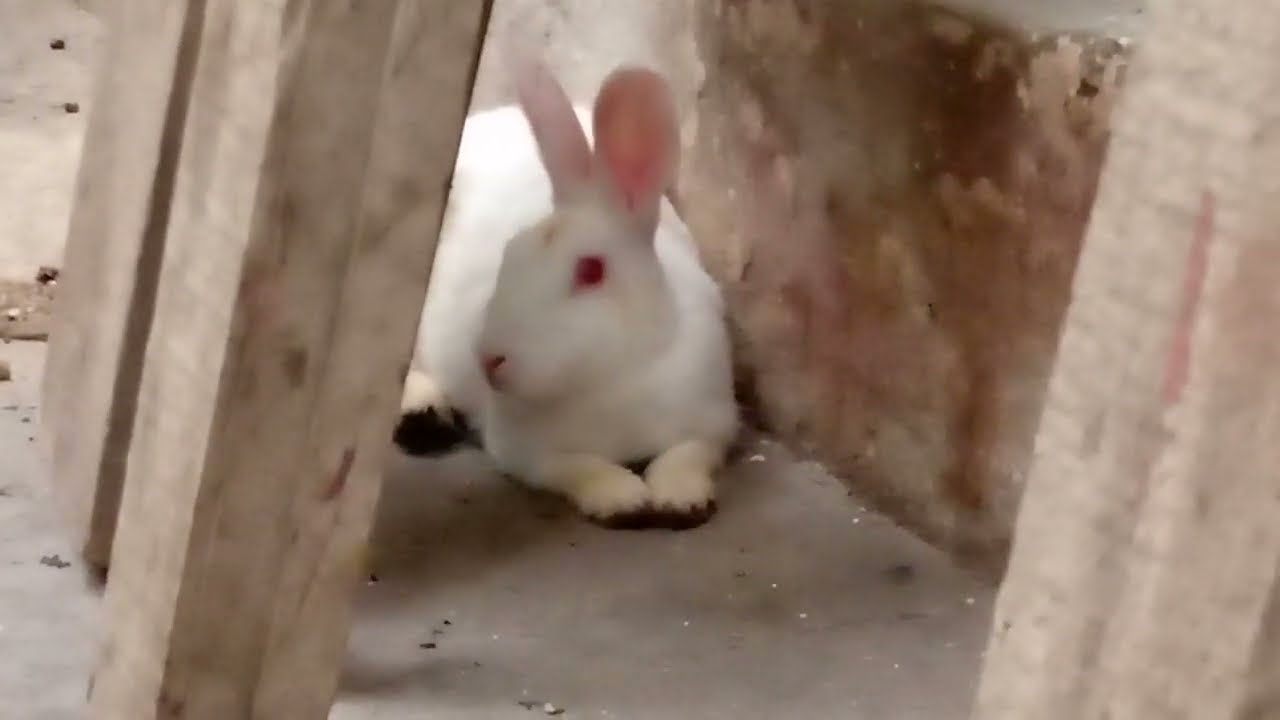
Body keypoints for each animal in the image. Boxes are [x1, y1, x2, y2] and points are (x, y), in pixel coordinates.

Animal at [395, 57, 739, 530]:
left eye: (591, 271)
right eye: (510, 253)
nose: (490, 360)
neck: (614, 376)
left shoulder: (712, 422)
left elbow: (687, 454)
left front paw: (679, 498)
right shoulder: (522, 449)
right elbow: (577, 466)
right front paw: (622, 498)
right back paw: (422, 413)